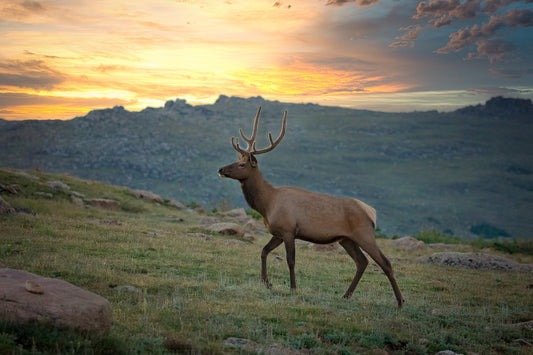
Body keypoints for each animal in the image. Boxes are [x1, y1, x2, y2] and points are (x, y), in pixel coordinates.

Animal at [216, 106, 404, 308]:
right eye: (236, 160)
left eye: (242, 164)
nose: (221, 169)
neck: (267, 204)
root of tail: (372, 212)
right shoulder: (278, 232)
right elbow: (263, 251)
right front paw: (267, 283)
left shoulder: (289, 230)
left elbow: (290, 260)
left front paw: (293, 288)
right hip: (346, 239)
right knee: (362, 262)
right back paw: (346, 295)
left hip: (365, 234)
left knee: (385, 263)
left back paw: (400, 301)